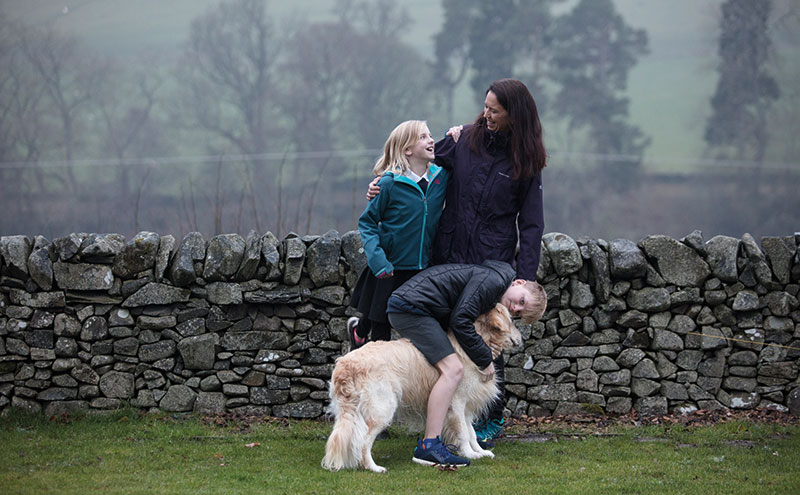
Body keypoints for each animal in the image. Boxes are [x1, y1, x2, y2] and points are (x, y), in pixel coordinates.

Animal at [322, 304, 520, 474]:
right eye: (511, 319)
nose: (521, 338)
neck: (477, 342)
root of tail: (346, 363)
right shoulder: (457, 403)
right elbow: (464, 433)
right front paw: (470, 454)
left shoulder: (466, 407)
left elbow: (471, 432)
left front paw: (480, 452)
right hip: (382, 409)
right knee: (363, 442)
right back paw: (373, 467)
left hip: (349, 412)